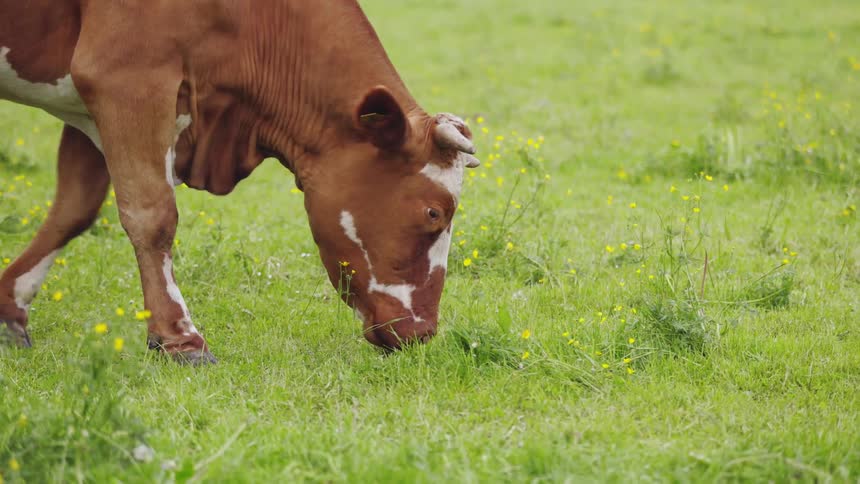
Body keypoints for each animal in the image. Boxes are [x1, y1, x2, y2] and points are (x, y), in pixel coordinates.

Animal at [0, 0, 480, 364]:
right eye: (433, 213)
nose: (422, 331)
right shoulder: (125, 79)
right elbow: (152, 216)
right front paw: (179, 339)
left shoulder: (88, 107)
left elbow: (74, 209)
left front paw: (9, 310)